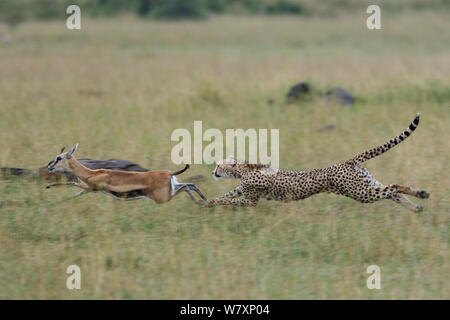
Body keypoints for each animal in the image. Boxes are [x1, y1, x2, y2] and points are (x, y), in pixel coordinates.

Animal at [203, 114, 428, 211]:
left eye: (218, 165)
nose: (213, 172)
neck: (243, 169)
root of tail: (346, 162)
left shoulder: (251, 200)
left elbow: (230, 200)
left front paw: (210, 202)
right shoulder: (241, 189)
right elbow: (226, 195)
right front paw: (206, 201)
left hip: (361, 193)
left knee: (394, 187)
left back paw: (420, 195)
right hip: (367, 185)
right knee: (392, 191)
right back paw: (416, 204)